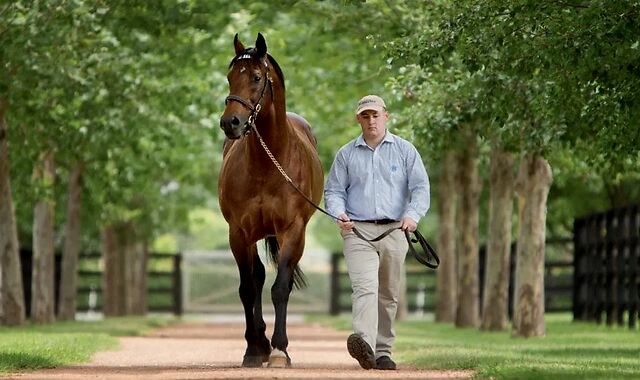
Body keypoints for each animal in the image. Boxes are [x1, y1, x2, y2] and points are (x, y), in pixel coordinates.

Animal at [219, 33, 324, 368]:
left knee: (280, 281)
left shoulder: (293, 230)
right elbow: (248, 289)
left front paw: (280, 350)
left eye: (255, 77)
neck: (269, 164)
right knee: (257, 278)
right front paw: (254, 350)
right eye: (230, 77)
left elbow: (280, 289)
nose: (231, 123)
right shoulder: (239, 233)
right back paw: (260, 342)